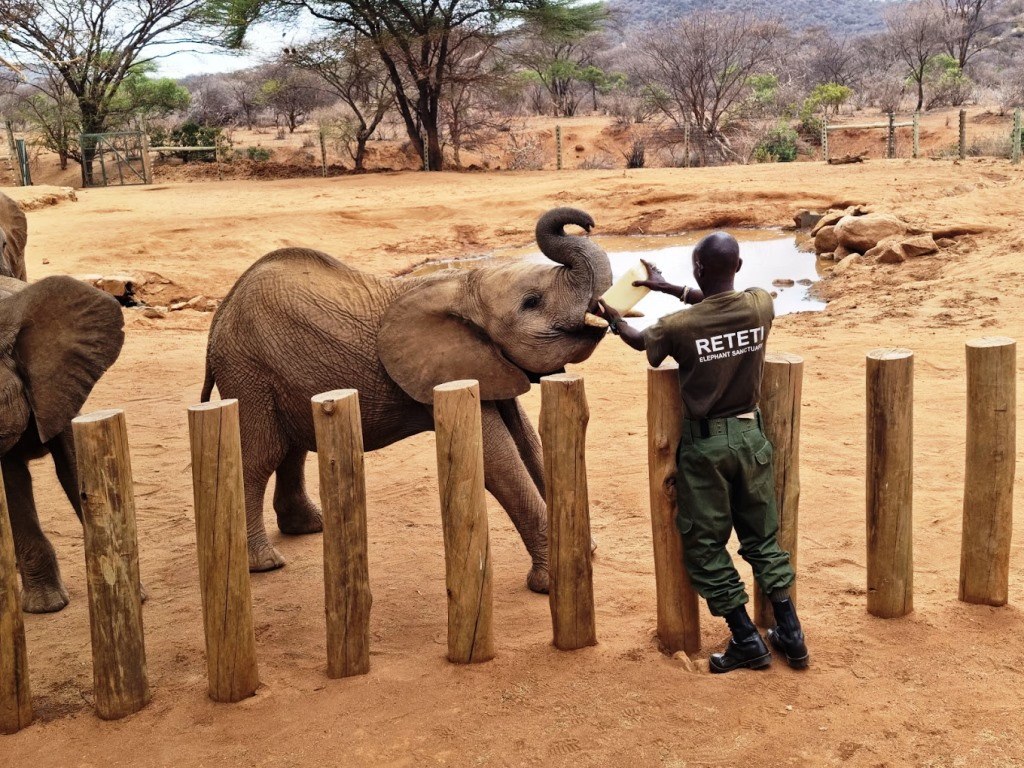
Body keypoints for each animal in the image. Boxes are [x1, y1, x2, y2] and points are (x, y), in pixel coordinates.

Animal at [202, 207, 612, 592]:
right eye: (531, 302)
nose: (587, 224)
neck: (465, 285)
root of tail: (221, 313)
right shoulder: (448, 371)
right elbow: (497, 459)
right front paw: (552, 582)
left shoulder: (489, 363)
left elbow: (528, 443)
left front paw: (586, 548)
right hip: (246, 368)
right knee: (262, 454)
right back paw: (265, 564)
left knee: (292, 447)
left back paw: (307, 527)